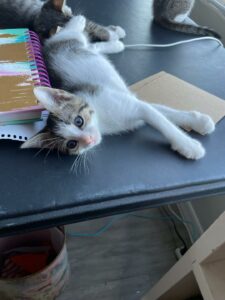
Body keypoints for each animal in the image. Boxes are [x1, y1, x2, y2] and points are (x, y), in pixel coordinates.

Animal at [22, 14, 215, 159]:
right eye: (72, 144)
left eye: (78, 121)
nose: (89, 140)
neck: (102, 121)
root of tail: (47, 48)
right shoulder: (132, 103)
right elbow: (161, 113)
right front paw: (193, 136)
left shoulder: (132, 103)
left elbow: (163, 120)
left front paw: (192, 136)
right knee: (92, 46)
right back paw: (116, 43)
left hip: (66, 39)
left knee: (72, 32)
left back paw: (85, 23)